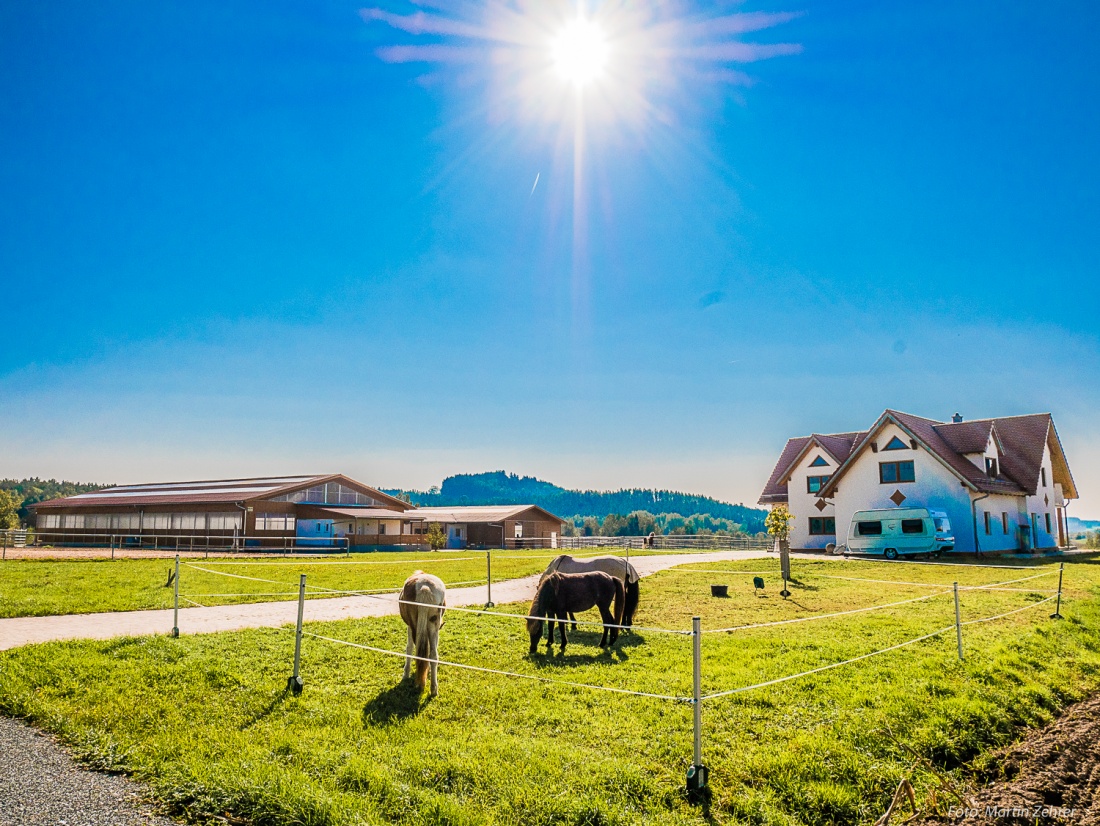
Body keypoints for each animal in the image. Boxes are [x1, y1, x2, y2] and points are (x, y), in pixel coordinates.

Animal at [400, 567, 446, 699]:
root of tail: (425, 587)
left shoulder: (409, 627)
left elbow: (409, 648)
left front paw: (406, 674)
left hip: (413, 625)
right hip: (433, 625)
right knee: (433, 655)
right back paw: (434, 689)